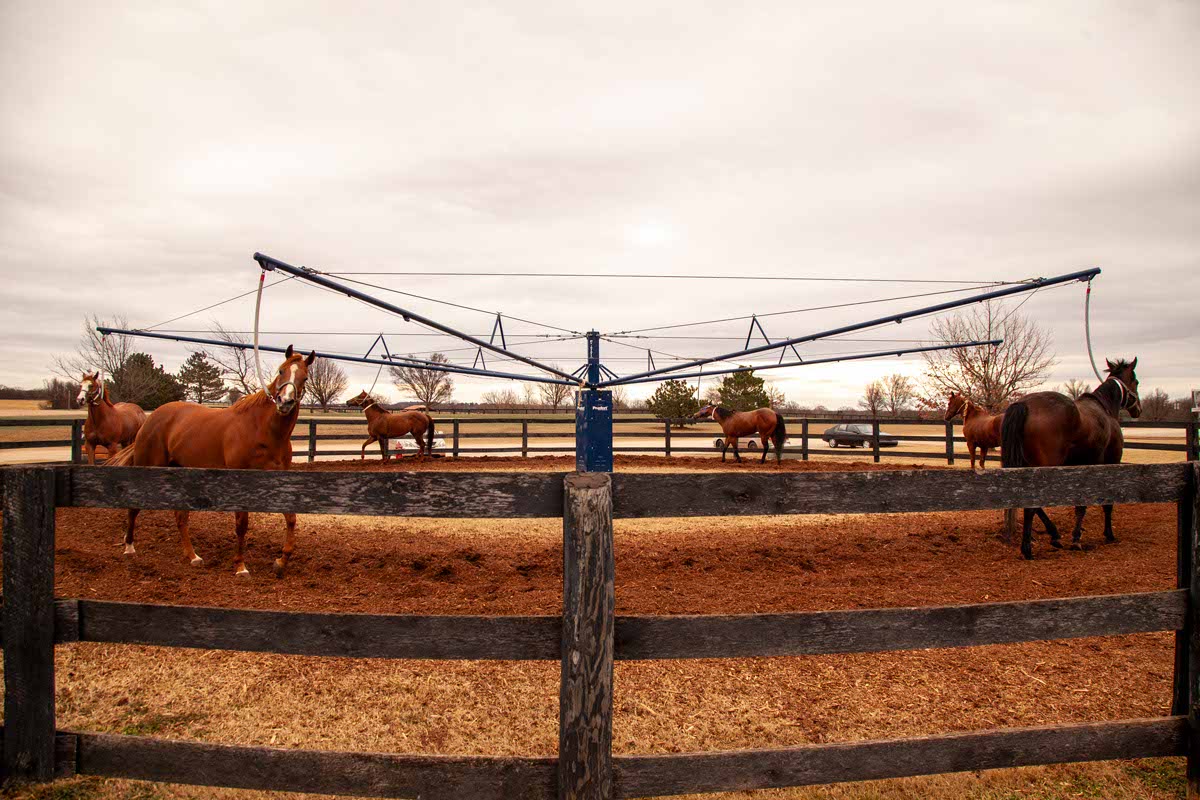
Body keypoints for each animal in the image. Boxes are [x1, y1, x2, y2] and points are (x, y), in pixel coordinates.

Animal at [111, 346, 315, 577]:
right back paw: (129, 547)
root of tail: (150, 418)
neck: (262, 430)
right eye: (281, 371)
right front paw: (240, 566)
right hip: (149, 467)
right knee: (134, 507)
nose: (285, 402)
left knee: (181, 517)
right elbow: (241, 524)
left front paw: (281, 561)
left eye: (304, 377)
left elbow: (291, 518)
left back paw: (193, 556)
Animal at [1001, 358, 1142, 560]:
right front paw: (1095, 536)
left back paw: (1053, 535)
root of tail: (1025, 405)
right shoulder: (1108, 463)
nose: (1138, 408)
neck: (1104, 410)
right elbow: (1100, 504)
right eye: (1135, 381)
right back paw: (1028, 548)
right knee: (1031, 505)